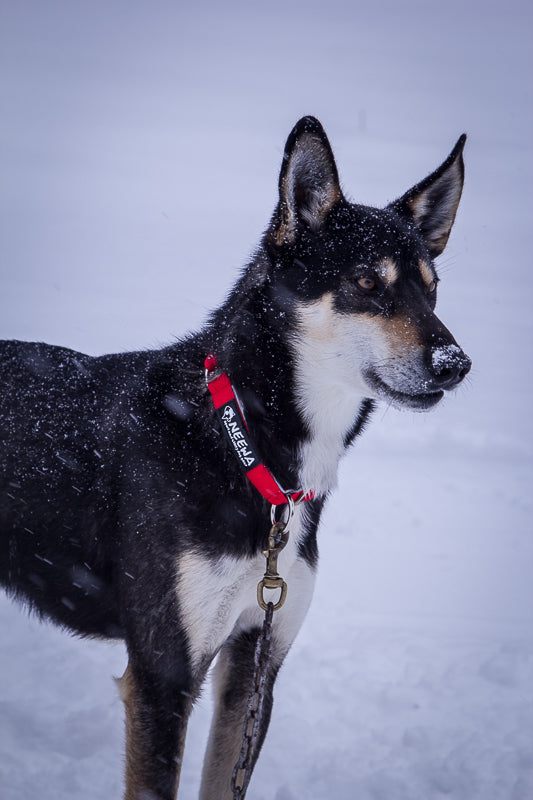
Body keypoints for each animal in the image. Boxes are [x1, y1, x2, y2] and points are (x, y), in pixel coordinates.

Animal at [0, 115, 470, 796]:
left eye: (432, 292)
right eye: (365, 282)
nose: (456, 363)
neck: (245, 447)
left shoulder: (255, 664)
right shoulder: (164, 675)